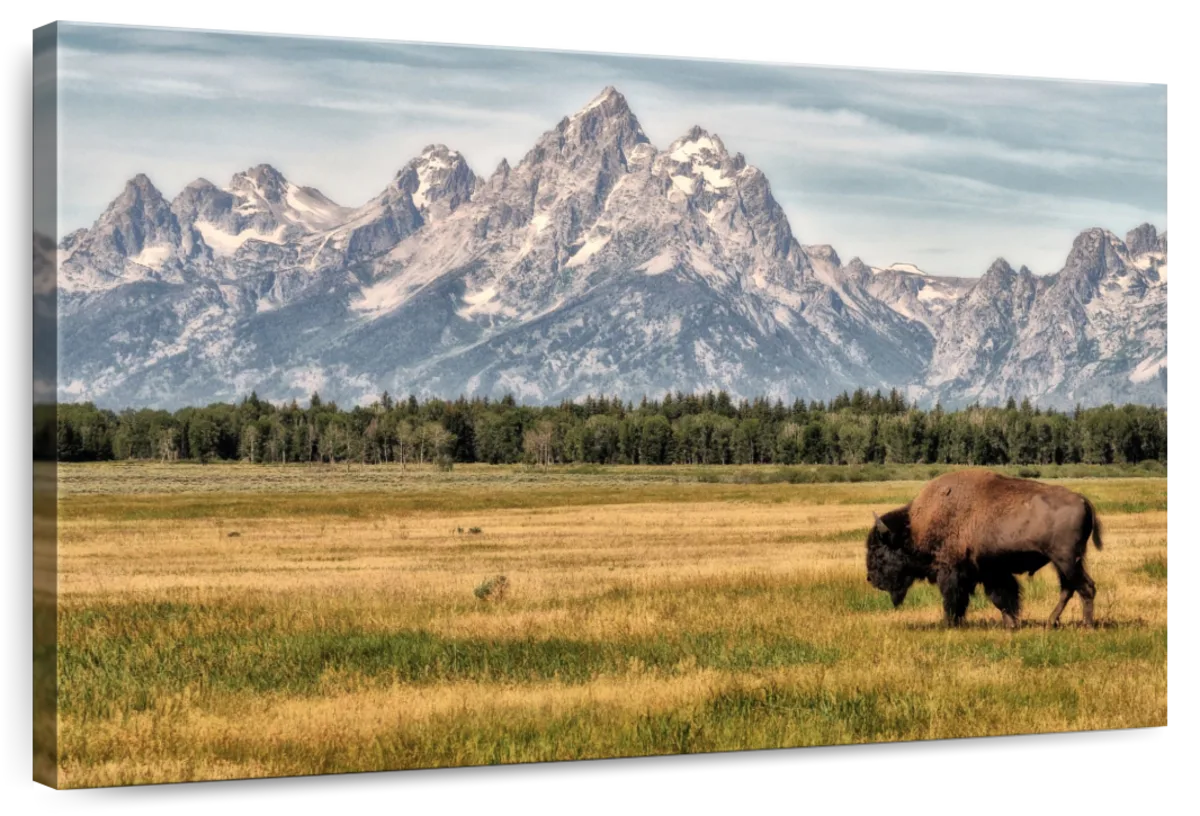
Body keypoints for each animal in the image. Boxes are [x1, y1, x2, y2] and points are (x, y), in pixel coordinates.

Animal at [864, 469, 1104, 629]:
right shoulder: (992, 572)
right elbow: (1003, 598)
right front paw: (1011, 625)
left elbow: (955, 599)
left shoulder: (953, 572)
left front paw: (949, 624)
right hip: (1062, 562)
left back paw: (1086, 626)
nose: (871, 579)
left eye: (878, 551)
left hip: (1066, 560)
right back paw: (1051, 622)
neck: (913, 528)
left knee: (1086, 587)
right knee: (1069, 589)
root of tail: (1082, 500)